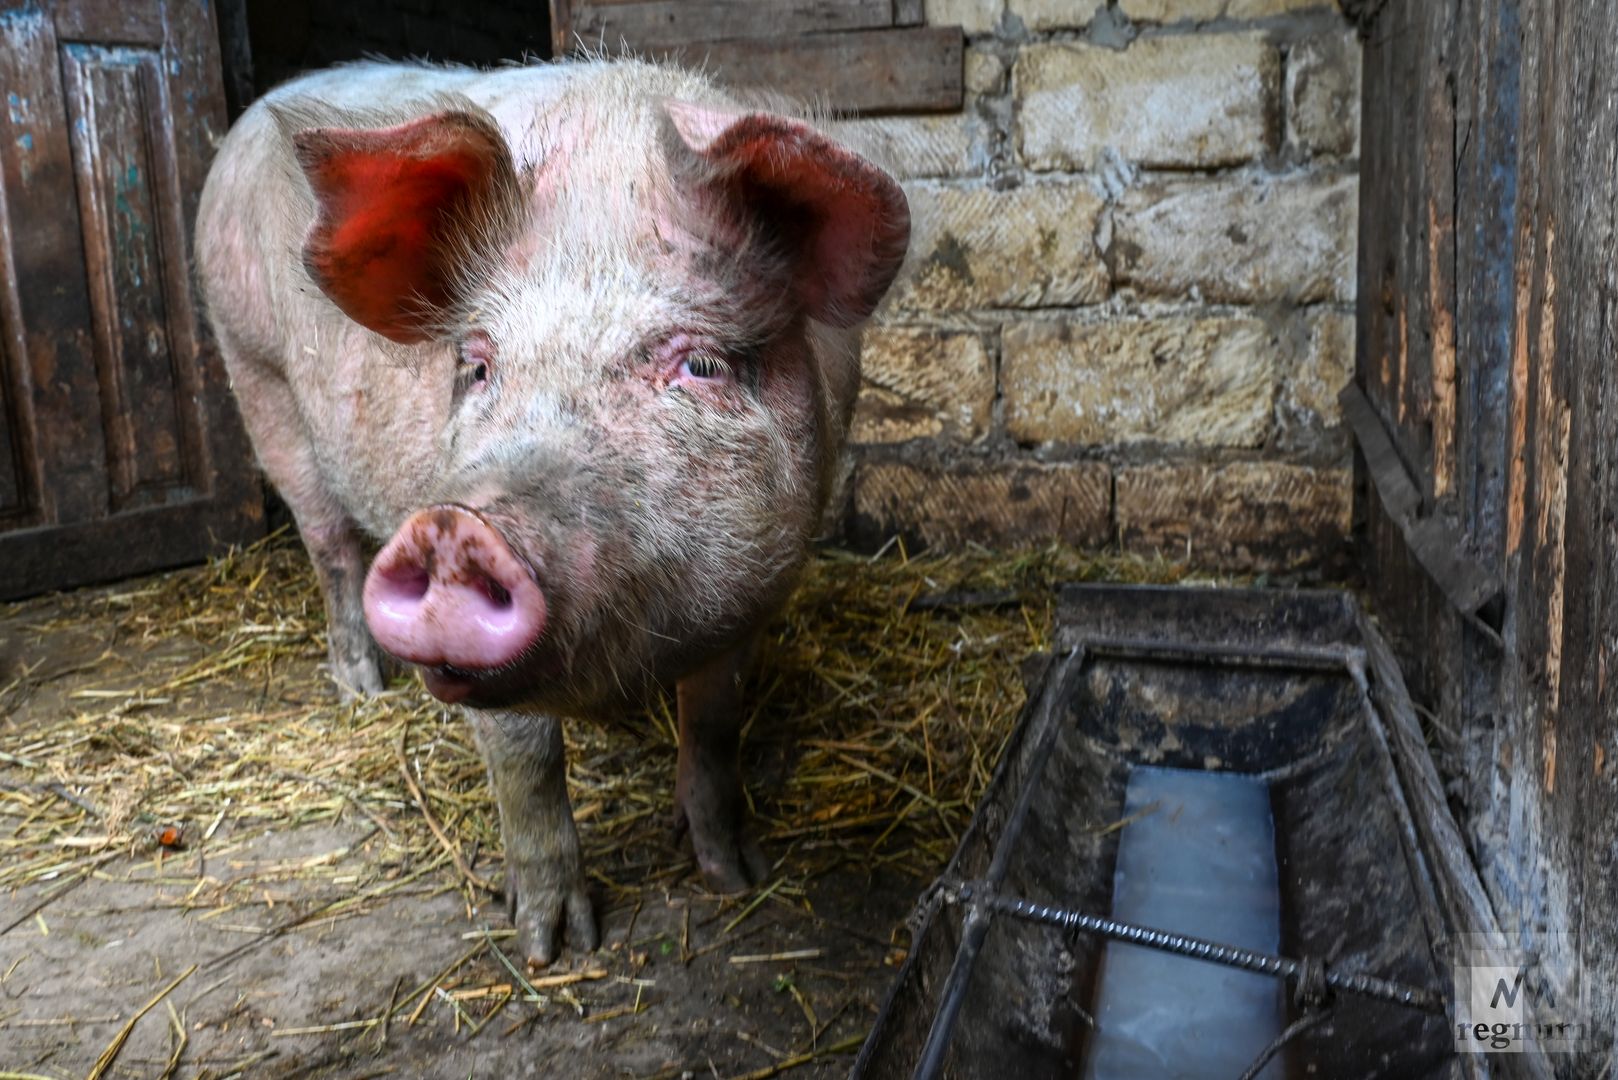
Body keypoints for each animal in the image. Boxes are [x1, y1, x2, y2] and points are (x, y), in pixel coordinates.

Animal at [194, 63, 906, 965]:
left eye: (701, 365)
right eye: (477, 364)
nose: (454, 528)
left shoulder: (758, 587)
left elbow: (714, 730)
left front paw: (733, 875)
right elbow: (525, 762)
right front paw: (552, 948)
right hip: (256, 376)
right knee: (329, 546)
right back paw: (363, 692)